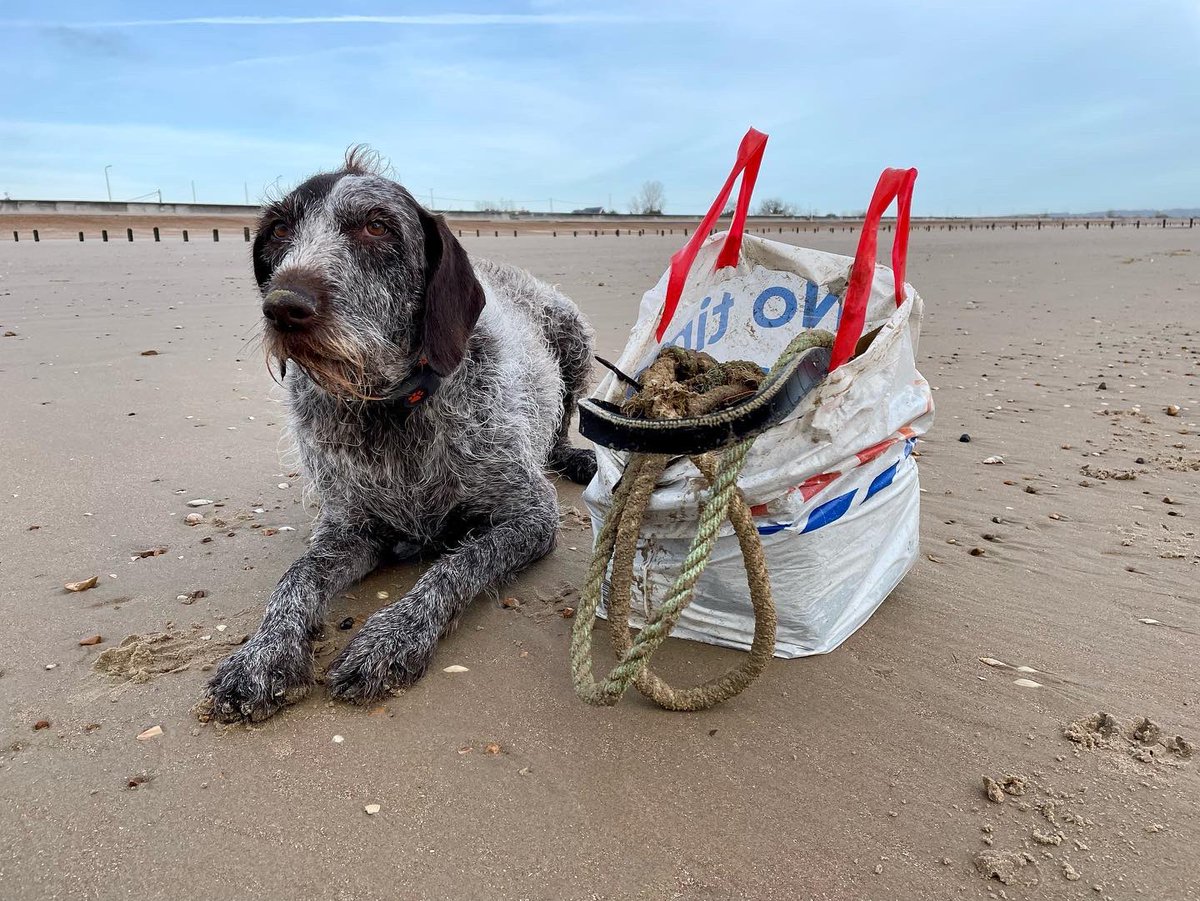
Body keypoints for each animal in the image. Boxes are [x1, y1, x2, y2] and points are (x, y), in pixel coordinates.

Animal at [210, 149, 600, 724]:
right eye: (280, 230)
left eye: (377, 226)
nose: (284, 306)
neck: (390, 411)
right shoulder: (349, 529)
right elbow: (295, 578)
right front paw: (262, 655)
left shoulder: (531, 517)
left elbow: (455, 566)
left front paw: (390, 639)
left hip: (571, 336)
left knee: (561, 419)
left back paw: (575, 457)